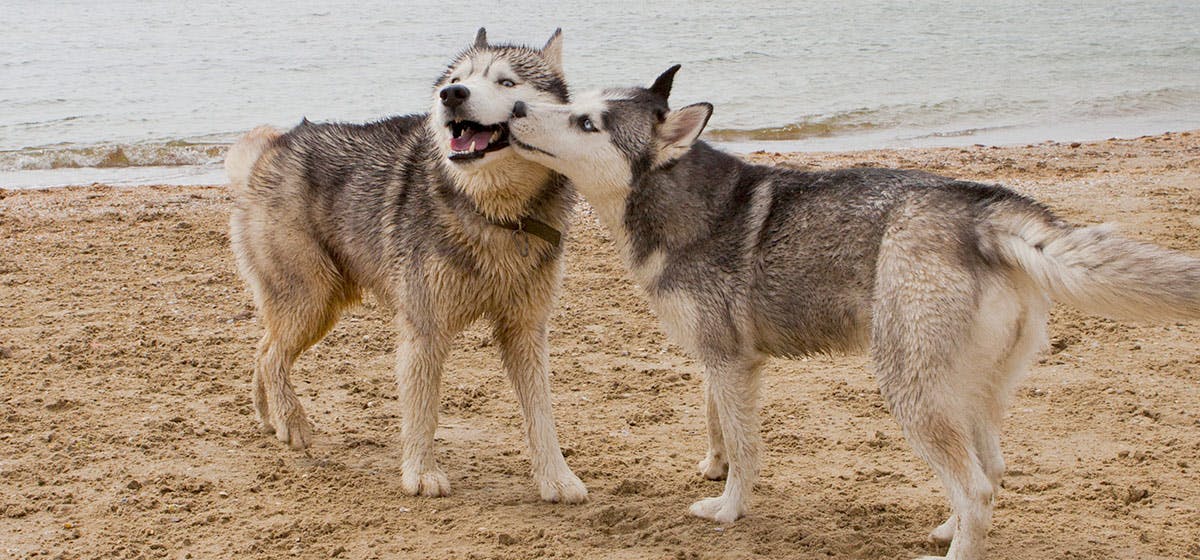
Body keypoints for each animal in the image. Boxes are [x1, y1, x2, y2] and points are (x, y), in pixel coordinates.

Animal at [226, 29, 588, 503]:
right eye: (456, 79)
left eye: (506, 82)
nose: (451, 95)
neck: (493, 214)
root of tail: (275, 144)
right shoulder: (425, 327)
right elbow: (423, 412)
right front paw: (421, 472)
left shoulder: (525, 330)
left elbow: (542, 414)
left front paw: (556, 478)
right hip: (312, 301)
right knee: (271, 357)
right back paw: (293, 422)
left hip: (320, 306)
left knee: (262, 350)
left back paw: (271, 418)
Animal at [506, 68, 1200, 558]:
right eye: (572, 105)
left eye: (587, 123)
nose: (513, 109)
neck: (676, 202)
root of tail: (981, 207)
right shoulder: (724, 362)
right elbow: (716, 421)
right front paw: (714, 467)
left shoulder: (731, 363)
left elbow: (747, 447)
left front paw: (729, 509)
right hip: (967, 392)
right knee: (990, 472)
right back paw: (948, 528)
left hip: (910, 390)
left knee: (977, 486)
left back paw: (955, 545)